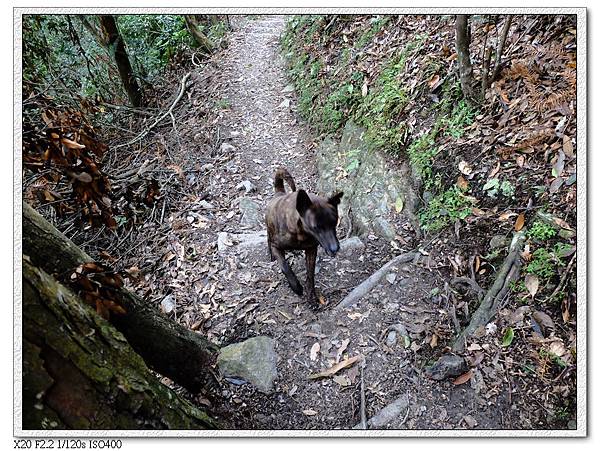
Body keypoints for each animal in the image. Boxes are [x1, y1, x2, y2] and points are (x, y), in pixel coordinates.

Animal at [266, 168, 344, 306]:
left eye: (334, 223)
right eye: (316, 227)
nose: (335, 249)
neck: (301, 233)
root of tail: (279, 193)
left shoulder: (311, 250)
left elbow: (310, 274)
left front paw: (311, 296)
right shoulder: (277, 247)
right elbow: (285, 267)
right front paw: (296, 287)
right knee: (268, 239)